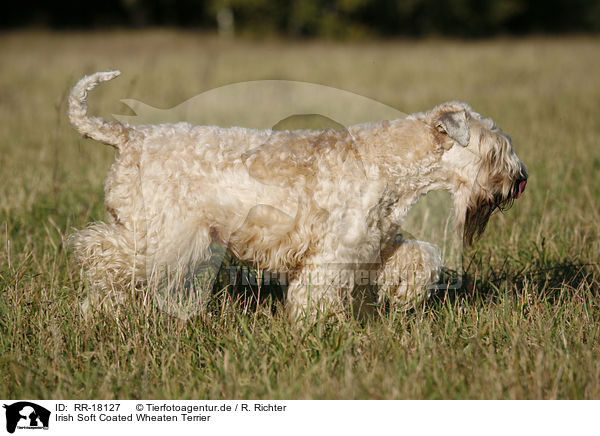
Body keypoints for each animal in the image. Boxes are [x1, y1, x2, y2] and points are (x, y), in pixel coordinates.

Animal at [67, 71, 524, 320]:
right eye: (492, 150)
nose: (520, 179)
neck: (390, 161)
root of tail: (129, 137)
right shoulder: (335, 249)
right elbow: (318, 289)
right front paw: (315, 326)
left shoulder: (374, 243)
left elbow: (421, 258)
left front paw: (403, 296)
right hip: (162, 234)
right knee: (99, 252)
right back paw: (97, 310)